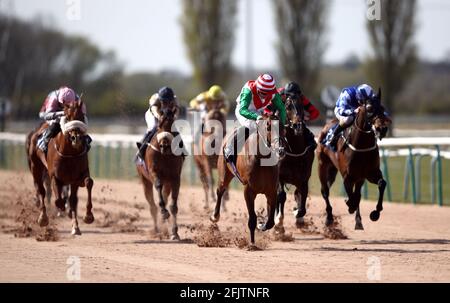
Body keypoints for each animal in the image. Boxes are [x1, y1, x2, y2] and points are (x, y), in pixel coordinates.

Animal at [25, 101, 94, 236]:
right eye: (67, 117)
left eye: (82, 116)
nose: (76, 138)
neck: (69, 154)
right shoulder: (55, 177)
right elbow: (58, 199)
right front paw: (60, 209)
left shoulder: (77, 177)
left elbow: (88, 183)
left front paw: (88, 216)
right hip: (35, 167)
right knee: (41, 190)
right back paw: (43, 217)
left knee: (72, 199)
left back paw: (75, 225)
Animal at [135, 108, 185, 241]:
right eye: (160, 125)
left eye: (172, 124)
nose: (164, 145)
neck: (165, 155)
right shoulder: (154, 173)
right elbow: (158, 187)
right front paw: (164, 212)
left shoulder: (175, 177)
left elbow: (173, 206)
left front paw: (174, 233)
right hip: (144, 180)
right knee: (152, 205)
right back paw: (157, 230)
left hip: (167, 183)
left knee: (164, 197)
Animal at [209, 115, 284, 248]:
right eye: (268, 127)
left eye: (283, 127)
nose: (280, 150)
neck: (262, 160)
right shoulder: (248, 191)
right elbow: (252, 219)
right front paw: (252, 244)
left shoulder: (271, 191)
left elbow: (270, 221)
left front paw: (262, 224)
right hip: (224, 174)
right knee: (220, 190)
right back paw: (215, 216)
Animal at [272, 96, 314, 234]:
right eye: (287, 106)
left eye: (302, 105)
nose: (297, 125)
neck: (294, 151)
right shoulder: (279, 177)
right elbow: (281, 196)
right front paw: (279, 222)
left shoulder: (304, 179)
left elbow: (302, 199)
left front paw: (297, 214)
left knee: (297, 194)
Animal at [316, 92, 390, 230]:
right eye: (370, 108)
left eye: (382, 108)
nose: (382, 129)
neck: (361, 146)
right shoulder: (348, 177)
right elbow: (352, 197)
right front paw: (349, 204)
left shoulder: (370, 173)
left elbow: (381, 183)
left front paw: (375, 213)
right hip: (322, 165)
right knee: (325, 191)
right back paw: (329, 218)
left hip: (348, 175)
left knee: (356, 194)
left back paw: (358, 221)